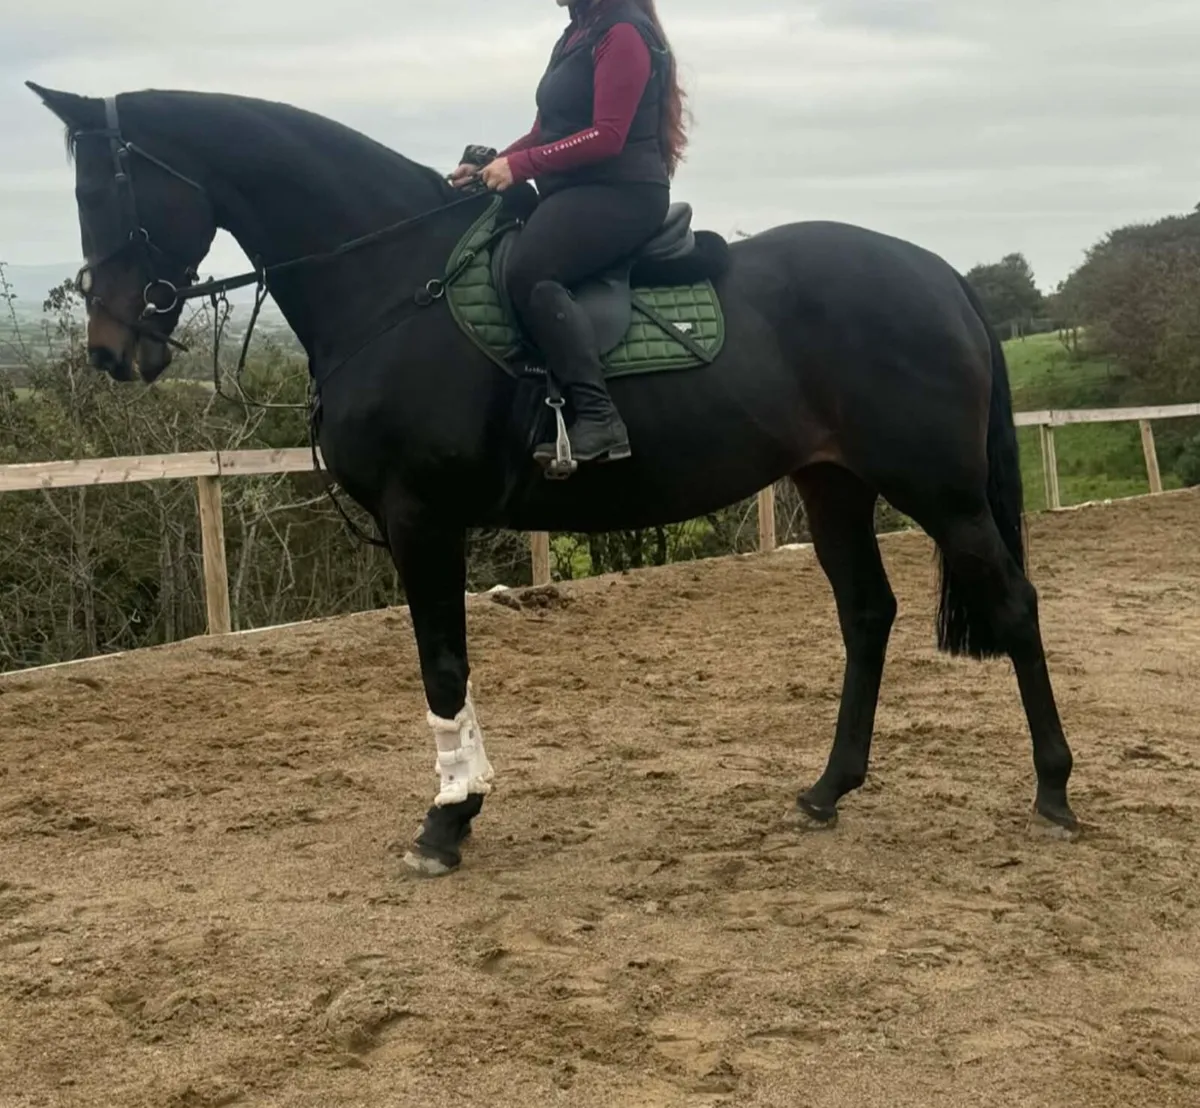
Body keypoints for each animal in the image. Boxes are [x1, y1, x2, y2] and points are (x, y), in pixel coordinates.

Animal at [25, 83, 1079, 876]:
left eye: (104, 194)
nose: (111, 350)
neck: (392, 279)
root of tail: (939, 275)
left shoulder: (421, 517)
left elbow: (442, 665)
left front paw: (448, 819)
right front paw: (462, 804)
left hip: (941, 492)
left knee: (1014, 603)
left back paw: (1055, 790)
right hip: (835, 486)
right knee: (866, 614)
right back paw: (828, 789)